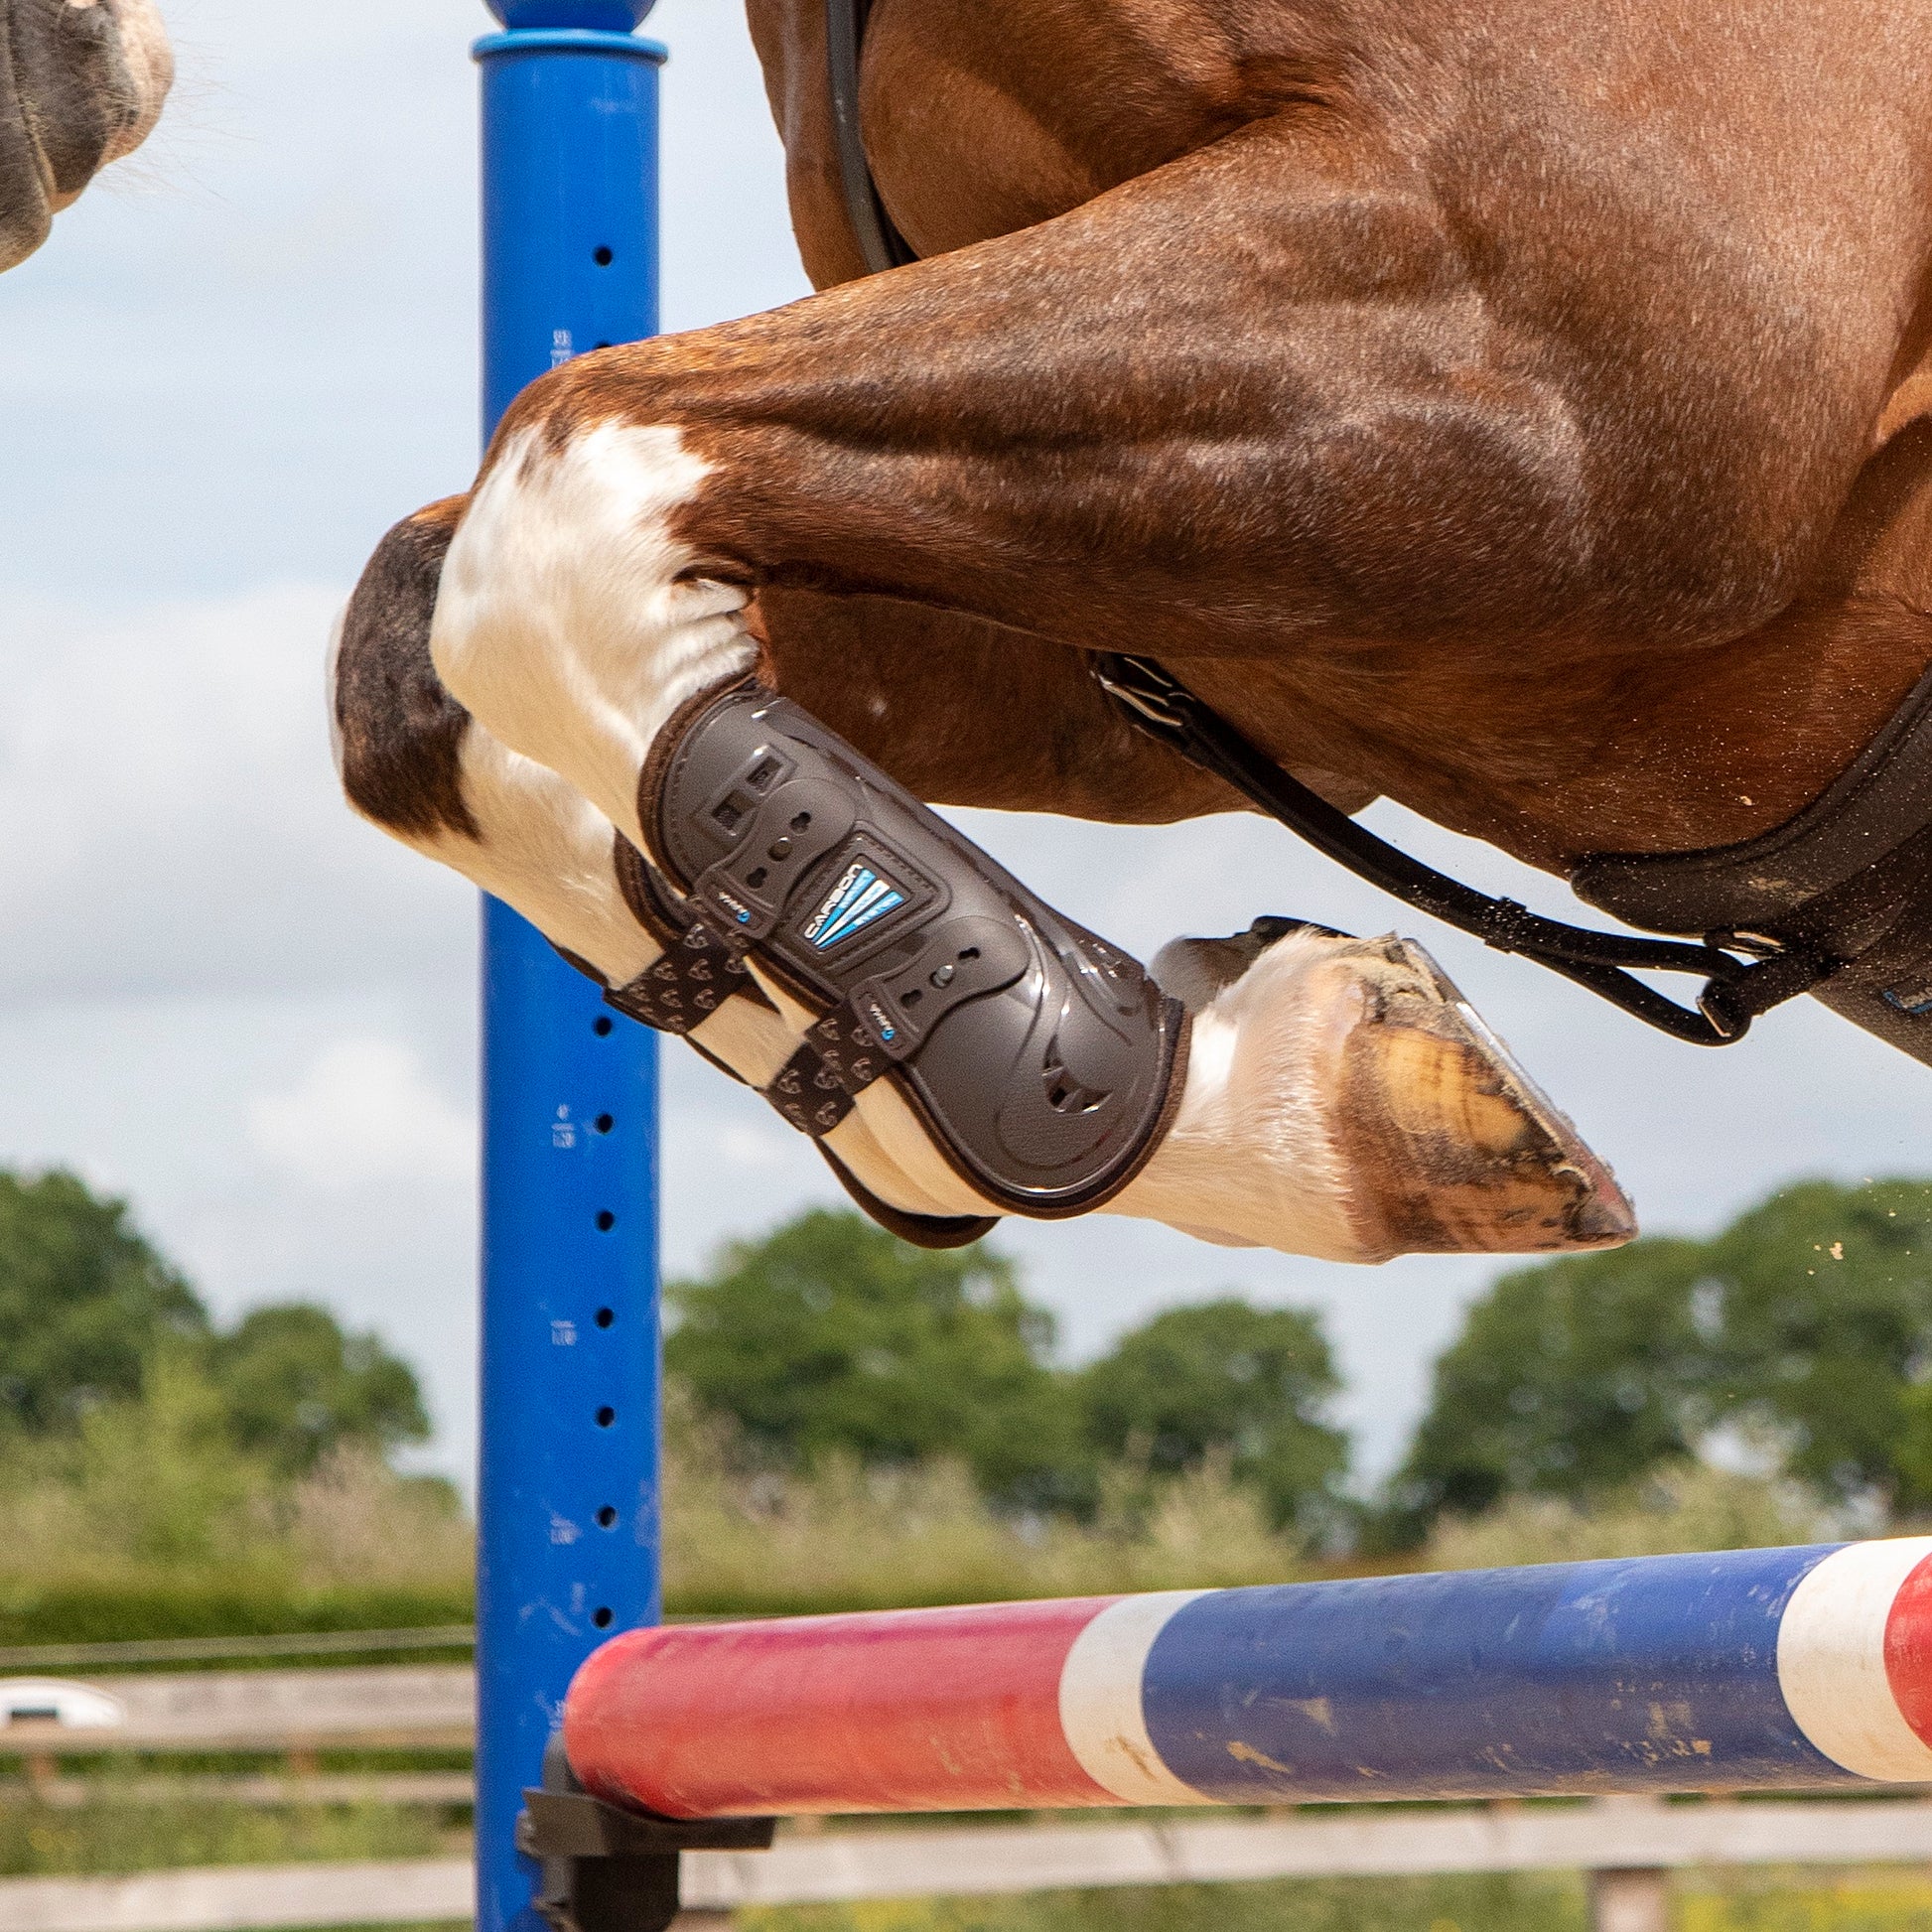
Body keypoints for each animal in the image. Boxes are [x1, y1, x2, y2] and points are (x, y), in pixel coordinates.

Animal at [333, 0, 1932, 1264]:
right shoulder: (1210, 659)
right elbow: (430, 640)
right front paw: (1290, 1100)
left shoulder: (1568, 362)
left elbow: (571, 491)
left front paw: (1099, 1078)